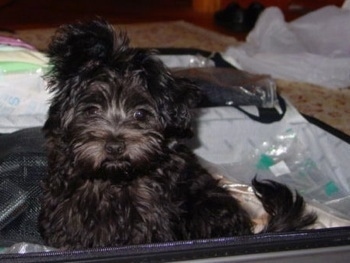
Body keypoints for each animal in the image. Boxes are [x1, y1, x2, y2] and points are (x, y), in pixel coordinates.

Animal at [39, 19, 318, 251]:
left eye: (140, 114)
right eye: (91, 111)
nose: (115, 146)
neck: (115, 179)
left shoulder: (152, 218)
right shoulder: (68, 212)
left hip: (208, 208)